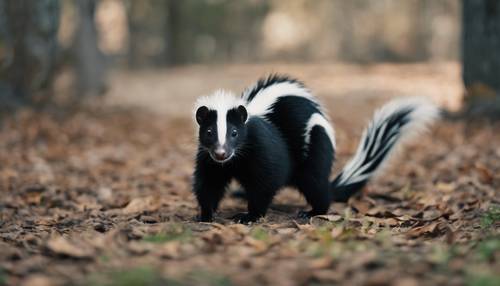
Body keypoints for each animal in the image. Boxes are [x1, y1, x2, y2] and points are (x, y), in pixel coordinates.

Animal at [191, 75, 438, 222]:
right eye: (209, 132)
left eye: (234, 133)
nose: (221, 153)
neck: (234, 160)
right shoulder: (209, 159)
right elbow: (209, 183)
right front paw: (205, 214)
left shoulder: (262, 147)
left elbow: (265, 181)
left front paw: (249, 216)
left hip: (316, 146)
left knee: (315, 183)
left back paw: (312, 211)